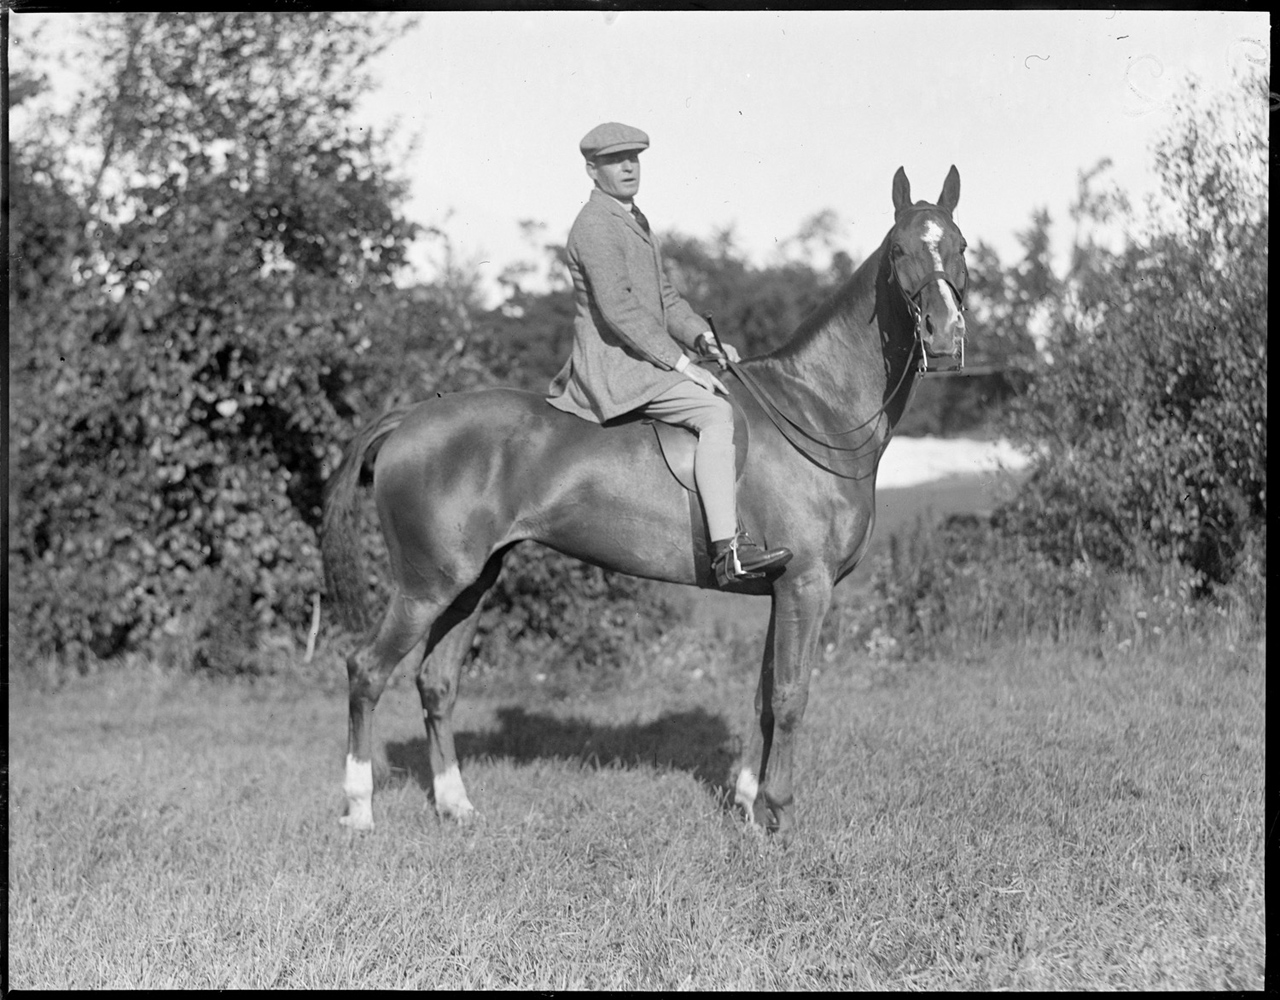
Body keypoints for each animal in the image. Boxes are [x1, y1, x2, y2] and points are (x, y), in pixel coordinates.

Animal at [325, 165, 962, 834]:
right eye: (899, 251)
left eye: (962, 247)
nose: (945, 336)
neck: (814, 410)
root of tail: (411, 417)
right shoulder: (806, 586)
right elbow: (790, 696)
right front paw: (781, 815)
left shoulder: (779, 590)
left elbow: (762, 697)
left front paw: (748, 805)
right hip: (427, 585)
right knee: (366, 670)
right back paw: (359, 809)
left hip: (472, 584)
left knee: (436, 683)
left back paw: (455, 804)